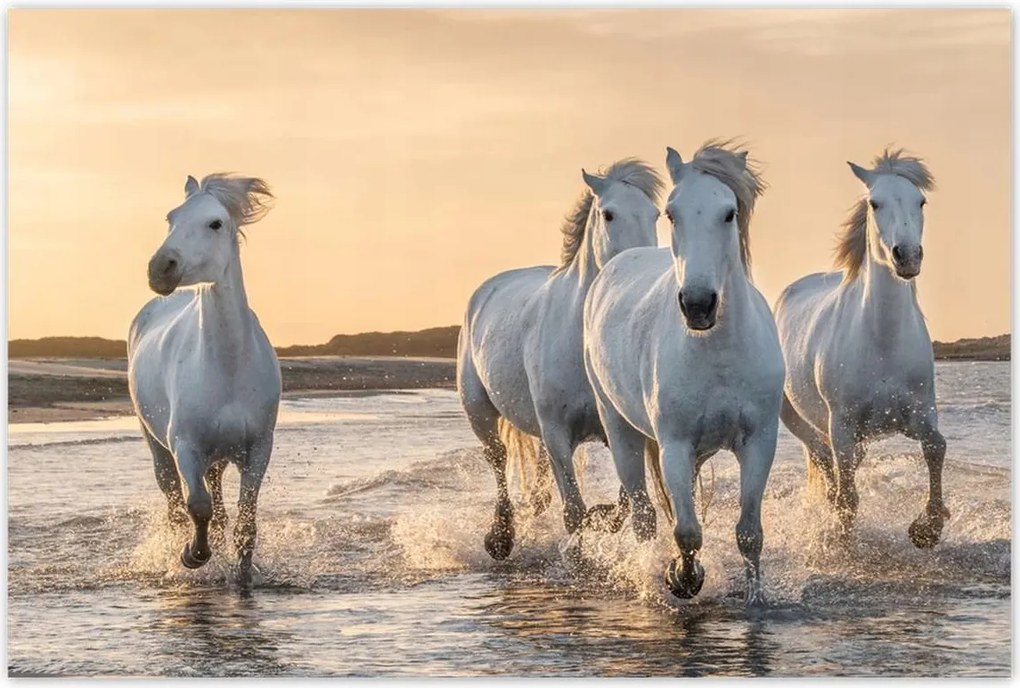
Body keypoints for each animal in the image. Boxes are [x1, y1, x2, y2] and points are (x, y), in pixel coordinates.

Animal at [128, 173, 282, 589]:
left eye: (215, 223)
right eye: (171, 218)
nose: (160, 268)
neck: (227, 369)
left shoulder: (258, 448)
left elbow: (245, 522)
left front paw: (242, 576)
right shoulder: (186, 446)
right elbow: (198, 506)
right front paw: (193, 555)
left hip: (218, 456)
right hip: (157, 445)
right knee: (174, 501)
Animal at [457, 159, 665, 560]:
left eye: (655, 214)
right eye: (608, 214)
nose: (640, 267)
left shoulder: (616, 429)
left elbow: (622, 503)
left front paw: (601, 519)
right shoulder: (557, 433)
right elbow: (573, 511)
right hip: (479, 412)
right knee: (498, 459)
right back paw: (500, 538)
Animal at [584, 142, 783, 605]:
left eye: (729, 213)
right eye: (672, 214)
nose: (697, 304)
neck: (719, 354)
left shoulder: (759, 442)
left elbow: (749, 533)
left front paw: (756, 600)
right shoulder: (674, 445)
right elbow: (687, 531)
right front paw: (682, 578)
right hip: (620, 429)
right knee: (643, 514)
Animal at [774, 149, 947, 548]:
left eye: (921, 201)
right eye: (874, 203)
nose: (907, 256)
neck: (883, 343)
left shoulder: (920, 414)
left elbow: (937, 447)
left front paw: (928, 527)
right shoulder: (842, 425)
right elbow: (848, 496)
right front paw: (841, 538)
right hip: (799, 419)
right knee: (824, 459)